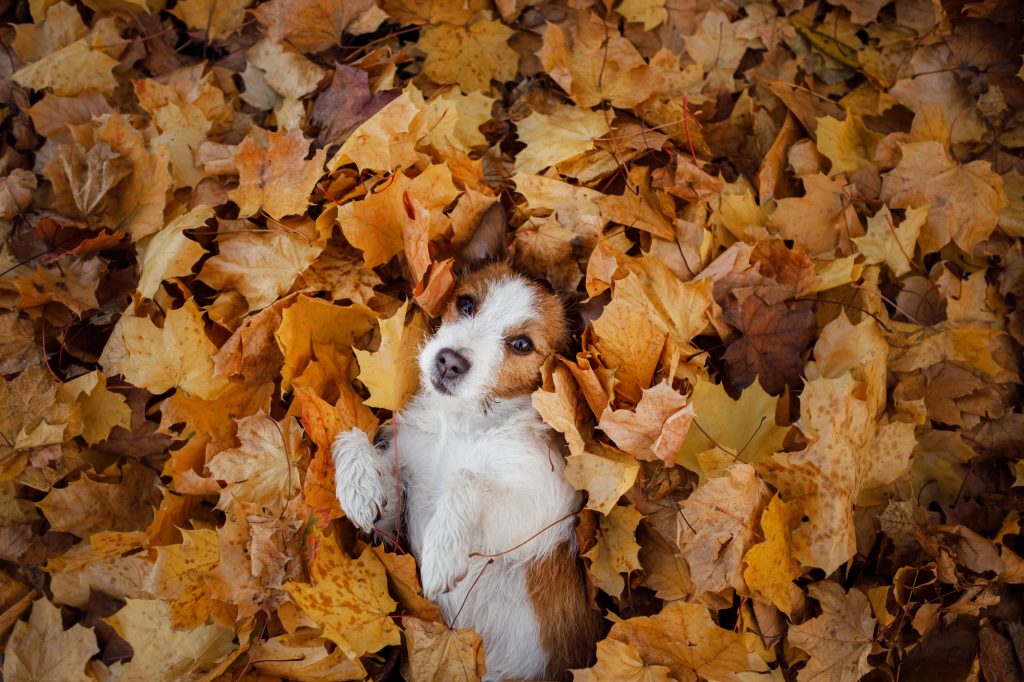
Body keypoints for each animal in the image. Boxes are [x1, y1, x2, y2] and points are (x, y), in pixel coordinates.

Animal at [331, 206, 598, 679]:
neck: (462, 424)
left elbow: (469, 479)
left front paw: (443, 548)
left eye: (522, 344)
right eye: (467, 303)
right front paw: (358, 486)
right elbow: (354, 436)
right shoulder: (396, 517)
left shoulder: (542, 518)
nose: (449, 361)